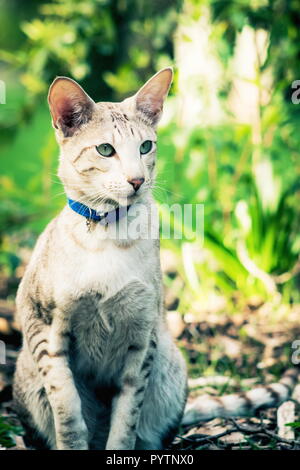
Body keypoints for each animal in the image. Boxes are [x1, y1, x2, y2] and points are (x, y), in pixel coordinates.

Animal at [13, 68, 188, 450]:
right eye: (106, 150)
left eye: (146, 146)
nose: (137, 179)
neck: (110, 237)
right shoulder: (43, 328)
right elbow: (68, 412)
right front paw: (73, 438)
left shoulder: (142, 338)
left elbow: (126, 421)